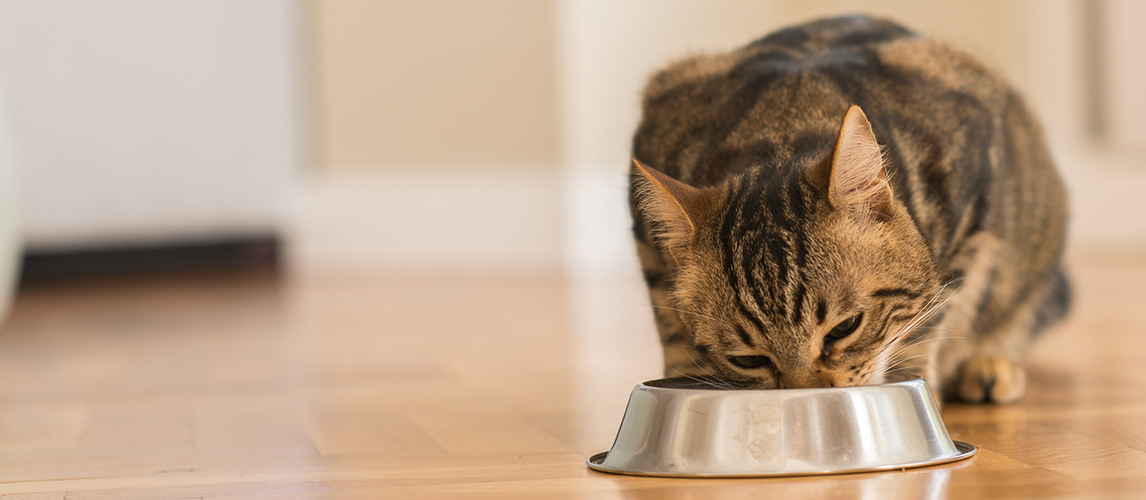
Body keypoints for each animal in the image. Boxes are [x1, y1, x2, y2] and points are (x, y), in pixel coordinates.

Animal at [632, 15, 1068, 403]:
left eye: (845, 328)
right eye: (748, 359)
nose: (805, 393)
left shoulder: (974, 199)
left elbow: (930, 322)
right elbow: (672, 329)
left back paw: (990, 364)